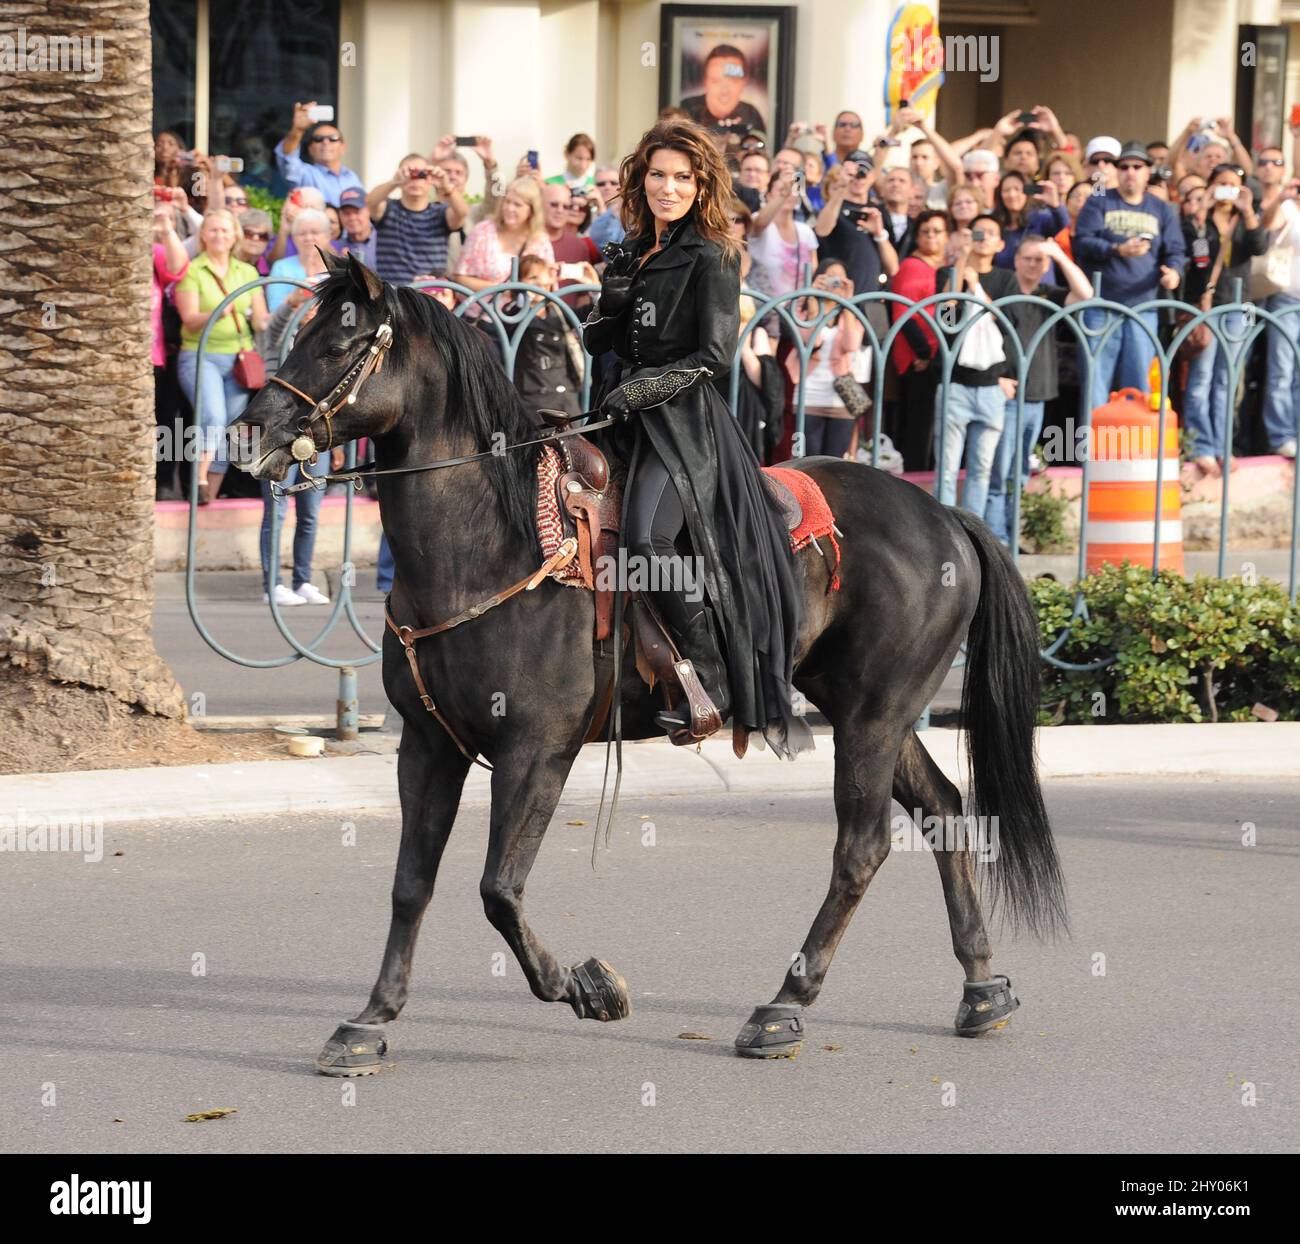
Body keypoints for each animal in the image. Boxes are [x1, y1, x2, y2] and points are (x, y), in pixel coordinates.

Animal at [233, 252, 1066, 1065]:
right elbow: (411, 885)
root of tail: (944, 514)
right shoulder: (429, 744)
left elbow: (499, 889)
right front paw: (369, 1020)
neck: (491, 540)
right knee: (943, 809)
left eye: (338, 342)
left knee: (862, 847)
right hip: (870, 709)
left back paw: (782, 1008)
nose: (248, 432)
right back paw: (981, 988)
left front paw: (588, 986)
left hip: (872, 716)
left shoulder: (538, 748)